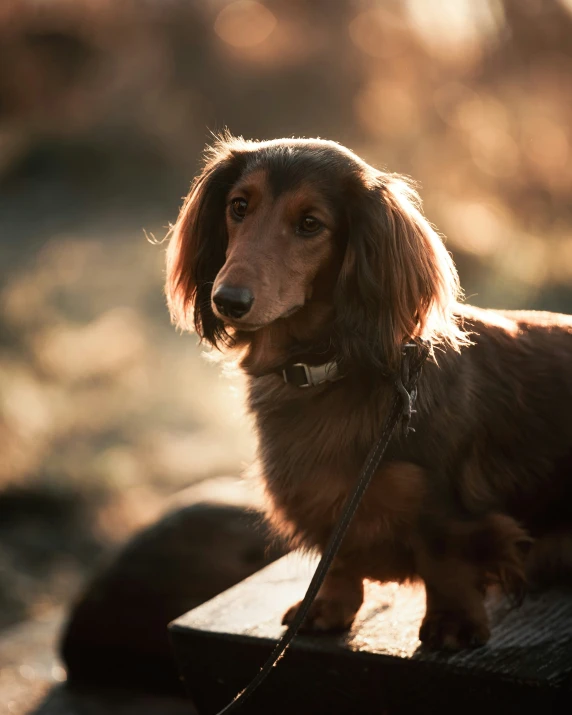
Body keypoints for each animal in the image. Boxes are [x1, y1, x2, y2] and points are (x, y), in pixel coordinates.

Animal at [164, 133, 572, 648]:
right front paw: (326, 608)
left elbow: (445, 559)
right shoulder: (327, 503)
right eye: (239, 206)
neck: (327, 371)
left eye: (310, 224)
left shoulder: (444, 505)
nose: (228, 300)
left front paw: (453, 623)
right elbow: (337, 559)